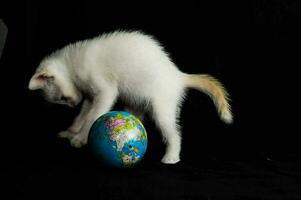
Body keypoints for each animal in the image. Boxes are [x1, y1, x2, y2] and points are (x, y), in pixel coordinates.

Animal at [28, 30, 232, 164]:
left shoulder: (105, 90)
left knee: (174, 133)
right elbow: (82, 115)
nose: (72, 104)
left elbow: (92, 117)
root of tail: (177, 75)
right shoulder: (90, 97)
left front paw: (79, 138)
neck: (72, 62)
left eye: (62, 98)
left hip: (162, 108)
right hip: (137, 103)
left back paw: (171, 157)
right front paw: (71, 131)